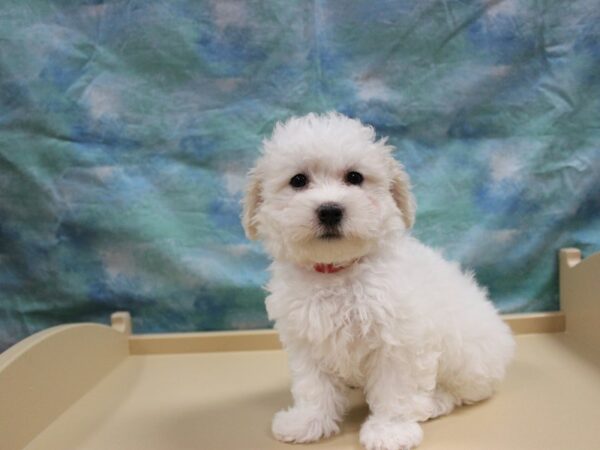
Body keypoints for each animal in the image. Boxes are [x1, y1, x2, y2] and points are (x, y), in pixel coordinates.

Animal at [241, 112, 512, 450]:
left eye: (355, 177)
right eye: (298, 181)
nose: (330, 210)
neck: (338, 270)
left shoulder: (399, 340)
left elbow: (395, 389)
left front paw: (390, 430)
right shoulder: (307, 338)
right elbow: (313, 386)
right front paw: (308, 421)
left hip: (467, 352)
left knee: (465, 390)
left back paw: (434, 402)